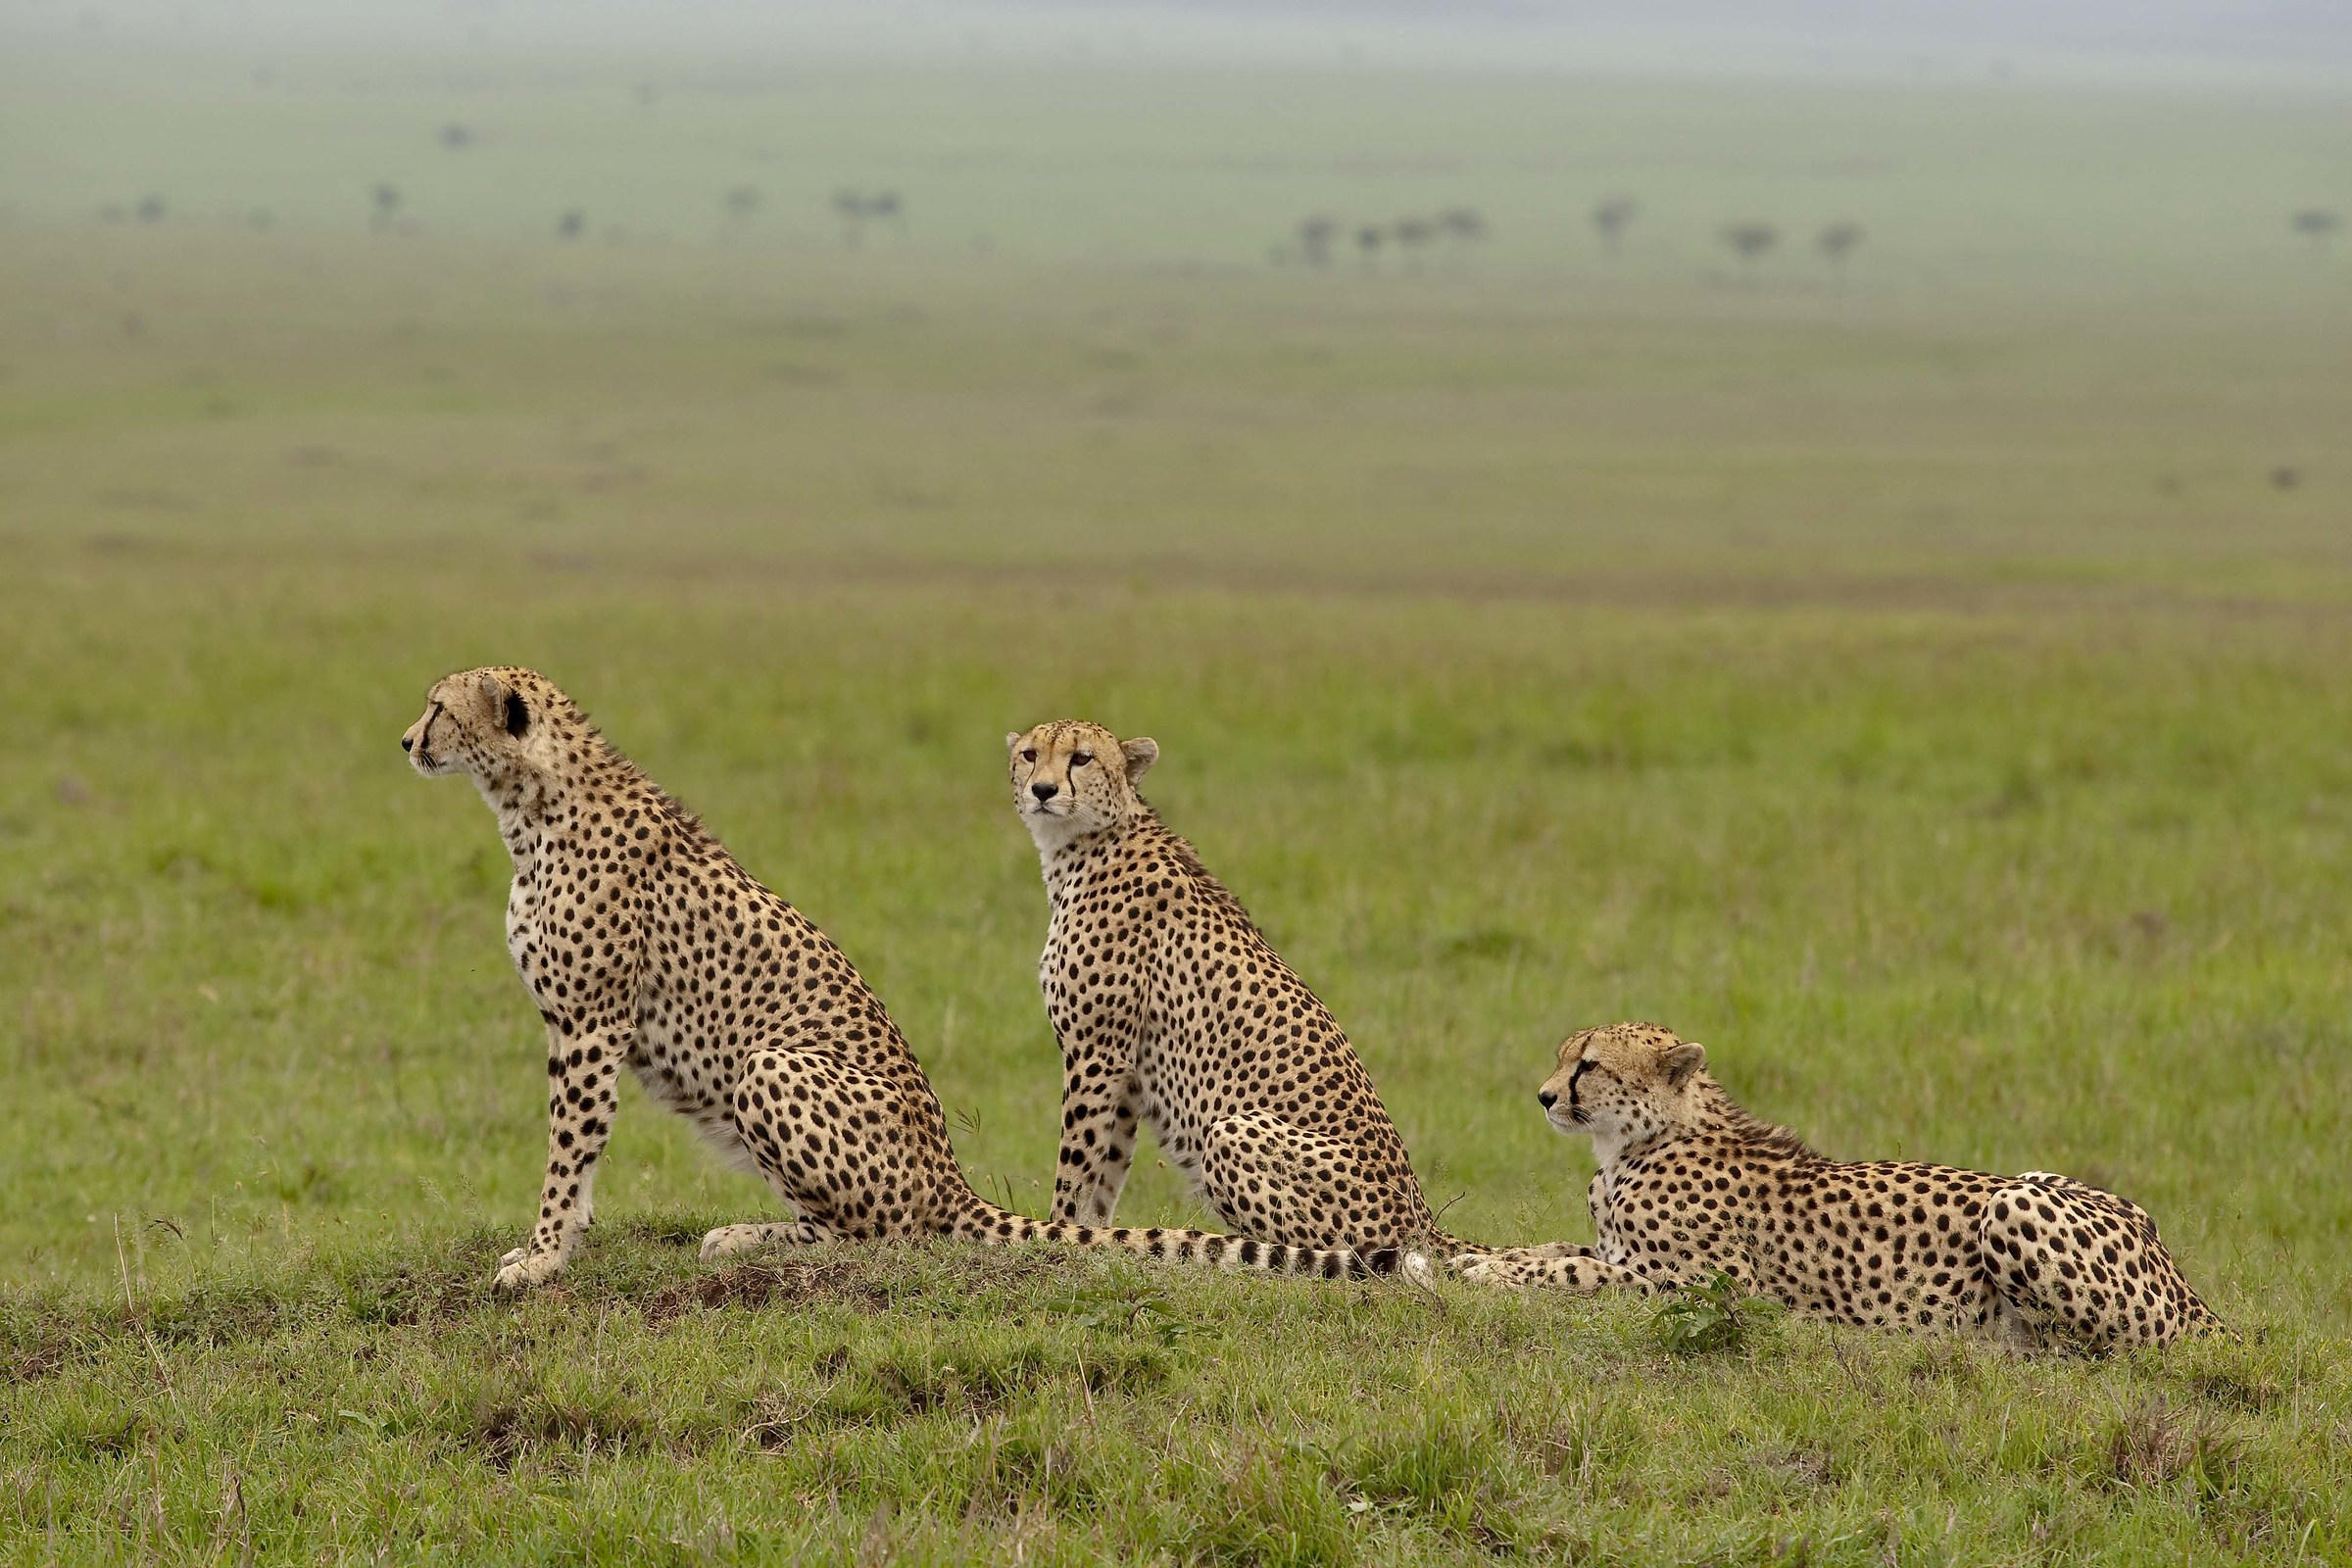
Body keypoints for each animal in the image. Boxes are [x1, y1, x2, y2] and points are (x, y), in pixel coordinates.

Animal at [402, 667, 1410, 1288]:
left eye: (440, 706)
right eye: (1033, 754)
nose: (407, 739)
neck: (531, 803)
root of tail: (949, 1178)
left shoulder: (587, 1021)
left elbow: (567, 1152)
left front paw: (540, 1257)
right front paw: (555, 1248)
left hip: (771, 1066)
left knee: (879, 1236)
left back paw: (756, 1240)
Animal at [1456, 1022, 2225, 1351]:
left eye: (1587, 1065)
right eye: (1563, 1058)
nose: (1544, 1097)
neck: (1637, 1143)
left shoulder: (1711, 1286)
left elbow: (1577, 1274)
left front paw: (1489, 1275)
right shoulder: (1618, 1250)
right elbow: (1554, 1250)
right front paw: (1481, 1259)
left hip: (2016, 1202)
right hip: (2038, 1182)